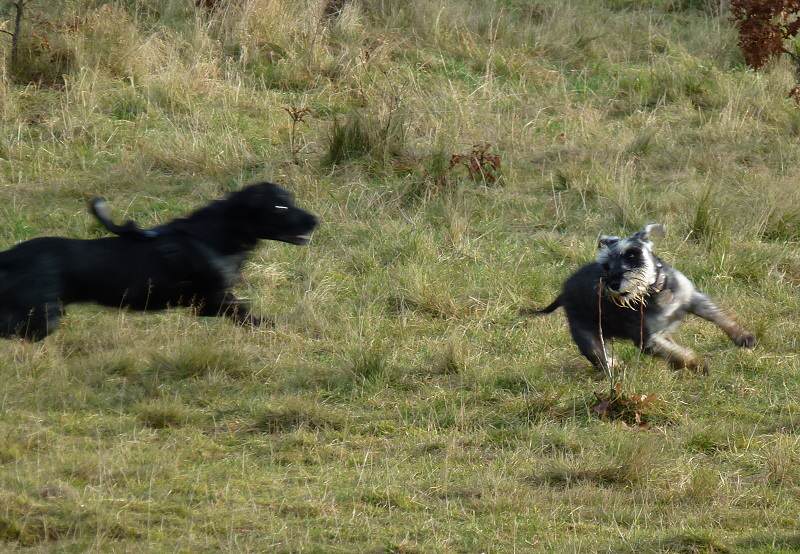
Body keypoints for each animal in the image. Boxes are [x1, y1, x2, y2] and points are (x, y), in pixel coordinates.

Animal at [0, 181, 318, 338]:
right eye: (279, 207)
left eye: (291, 200)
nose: (316, 220)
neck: (215, 235)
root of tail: (9, 256)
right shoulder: (214, 301)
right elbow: (254, 317)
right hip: (42, 317)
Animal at [536, 223, 756, 370]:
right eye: (606, 265)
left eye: (632, 254)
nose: (613, 283)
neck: (656, 291)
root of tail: (563, 293)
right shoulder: (647, 339)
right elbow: (675, 354)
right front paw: (696, 364)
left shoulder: (694, 299)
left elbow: (719, 316)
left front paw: (743, 337)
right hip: (588, 337)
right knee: (600, 359)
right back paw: (614, 365)